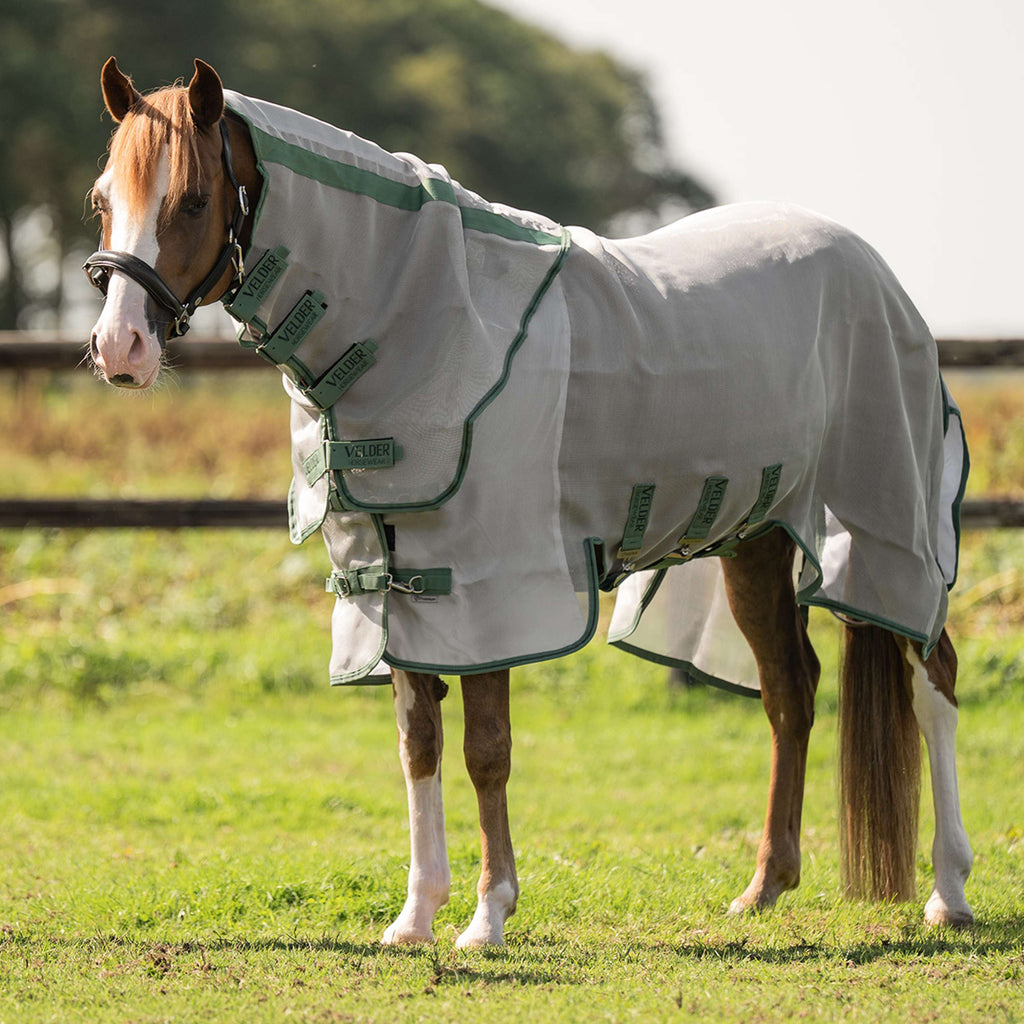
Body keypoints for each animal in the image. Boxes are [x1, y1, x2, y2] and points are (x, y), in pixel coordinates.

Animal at [85, 57, 974, 947]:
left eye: (195, 199)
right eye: (102, 199)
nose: (118, 349)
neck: (421, 318)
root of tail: (877, 276)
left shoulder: (489, 586)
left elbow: (486, 748)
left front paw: (488, 915)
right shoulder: (392, 580)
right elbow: (418, 742)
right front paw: (415, 917)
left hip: (886, 529)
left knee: (933, 681)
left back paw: (948, 893)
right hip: (756, 540)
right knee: (791, 692)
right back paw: (764, 887)